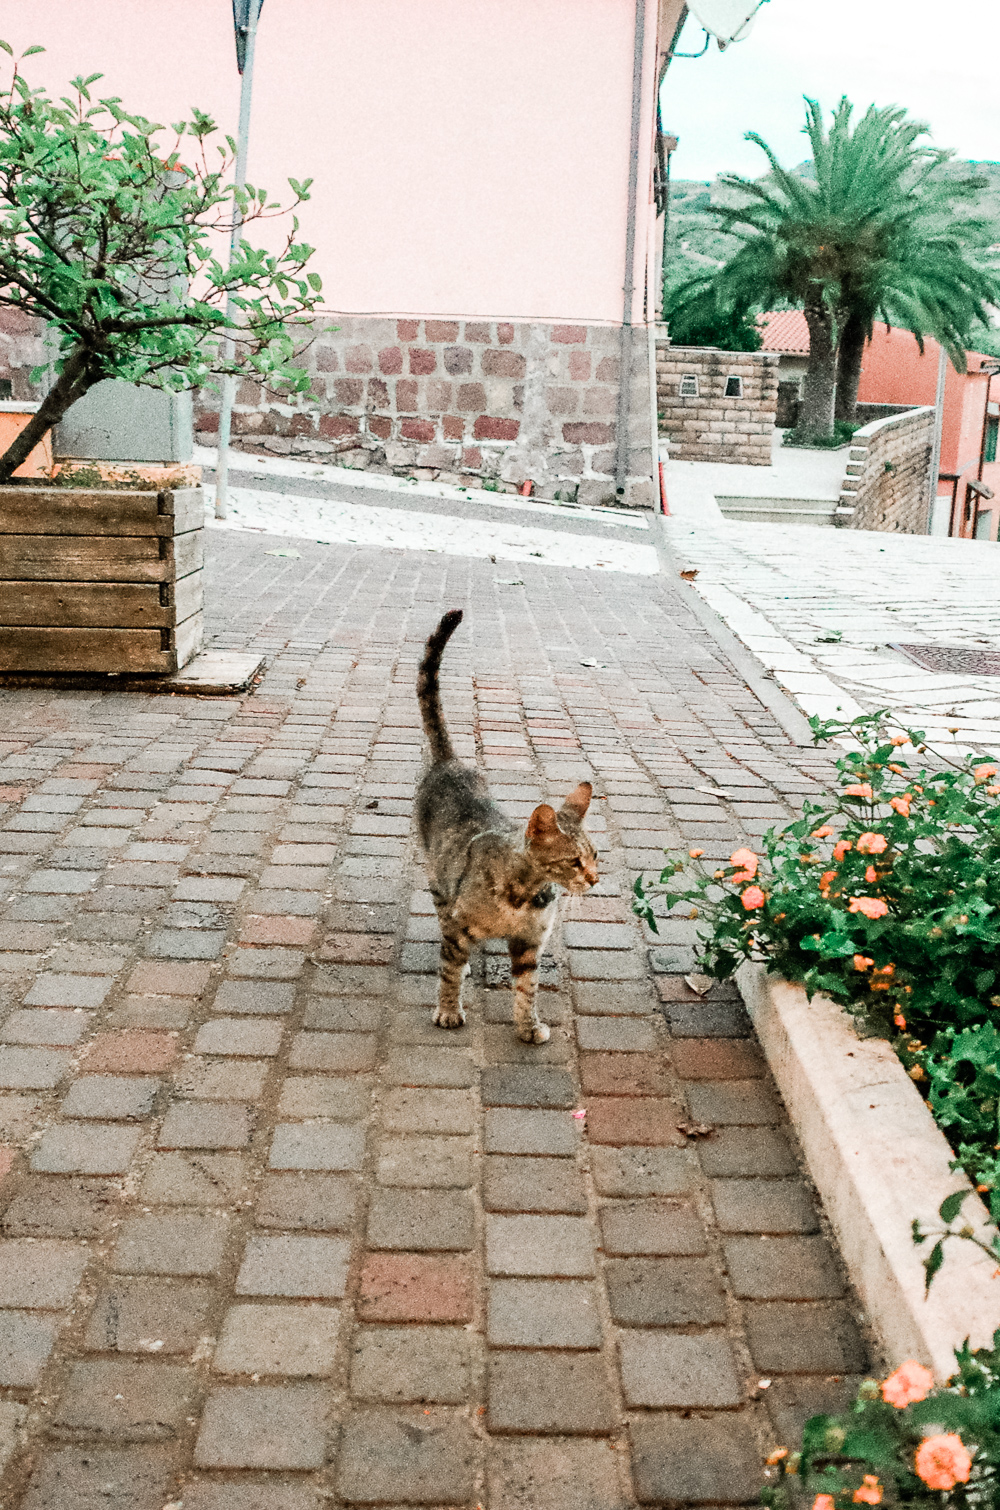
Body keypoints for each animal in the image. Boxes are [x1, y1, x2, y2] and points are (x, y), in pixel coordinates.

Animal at [416, 607, 598, 1044]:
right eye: (573, 861)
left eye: (595, 856)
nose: (595, 879)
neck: (525, 895)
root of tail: (450, 763)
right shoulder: (460, 924)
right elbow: (448, 973)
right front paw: (449, 1010)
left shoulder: (530, 943)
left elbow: (527, 989)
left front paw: (528, 1025)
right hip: (438, 883)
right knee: (445, 931)